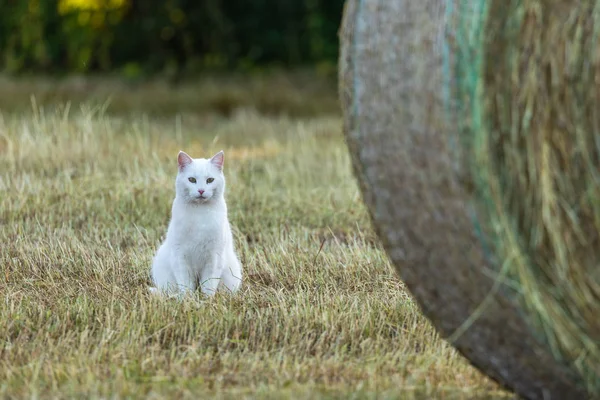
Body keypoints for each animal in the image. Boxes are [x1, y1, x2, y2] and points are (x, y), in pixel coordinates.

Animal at [150, 150, 241, 296]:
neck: (200, 213)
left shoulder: (214, 258)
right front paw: (188, 299)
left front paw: (207, 299)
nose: (201, 190)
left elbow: (209, 284)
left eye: (210, 180)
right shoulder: (180, 256)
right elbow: (186, 284)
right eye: (192, 179)